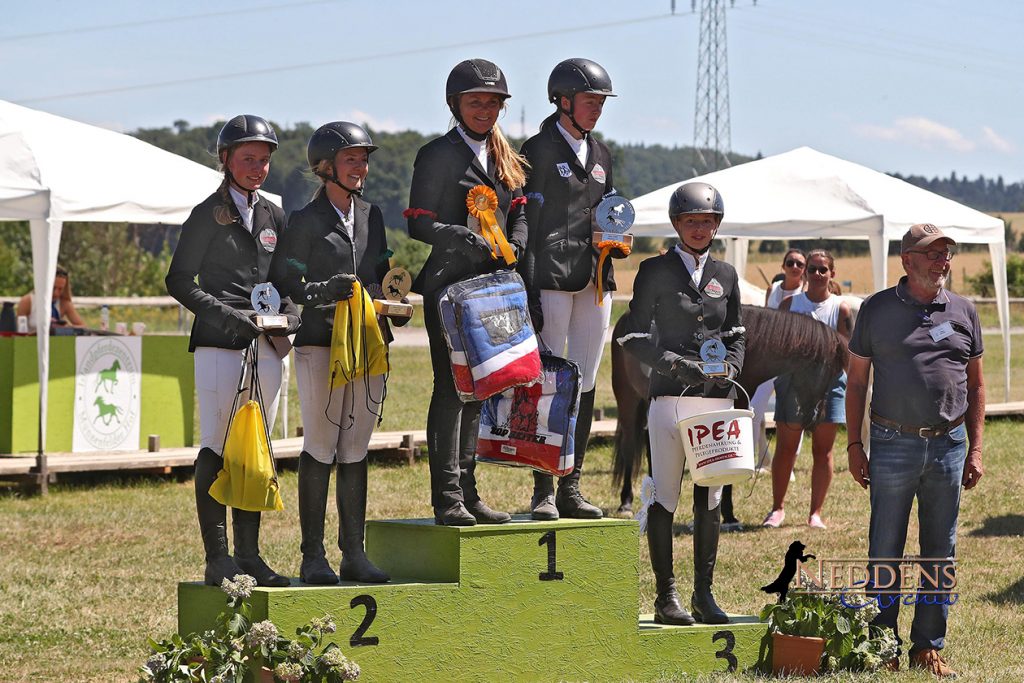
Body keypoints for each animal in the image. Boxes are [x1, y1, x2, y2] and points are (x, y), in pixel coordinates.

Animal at [606, 307, 847, 516]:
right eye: (828, 371)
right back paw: (626, 502)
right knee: (629, 445)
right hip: (627, 398)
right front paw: (728, 515)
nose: (814, 418)